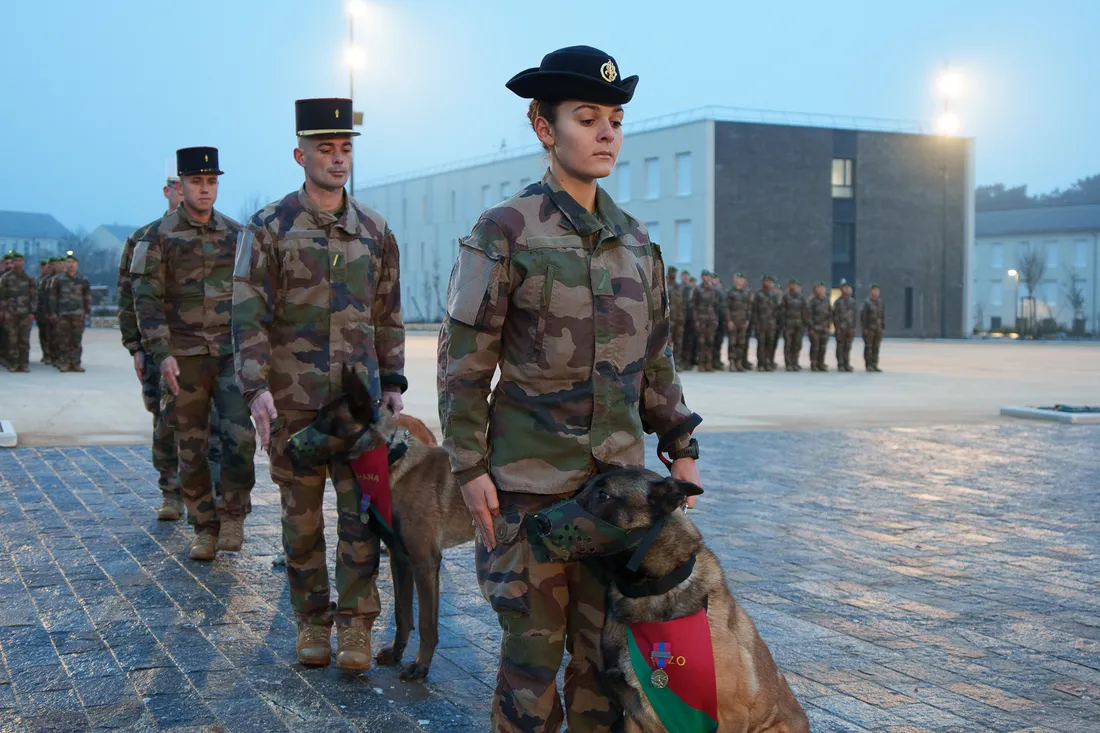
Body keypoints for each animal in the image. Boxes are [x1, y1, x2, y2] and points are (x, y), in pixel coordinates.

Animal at [288, 365, 473, 677]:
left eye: (325, 420)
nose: (288, 444)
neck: (389, 461)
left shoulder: (425, 562)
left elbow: (426, 623)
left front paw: (420, 666)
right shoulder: (400, 559)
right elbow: (402, 614)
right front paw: (397, 653)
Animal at [558, 468, 809, 730]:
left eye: (603, 495)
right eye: (580, 490)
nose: (543, 520)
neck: (655, 590)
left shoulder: (731, 715)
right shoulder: (634, 716)